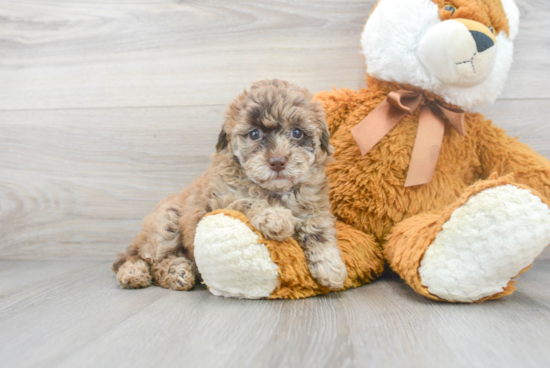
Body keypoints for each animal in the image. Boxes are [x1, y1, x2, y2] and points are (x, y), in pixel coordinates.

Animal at [112, 80, 348, 290]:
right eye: (254, 134)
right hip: (165, 224)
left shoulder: (315, 207)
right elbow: (247, 201)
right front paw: (275, 217)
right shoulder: (216, 205)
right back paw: (135, 273)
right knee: (139, 257)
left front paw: (331, 268)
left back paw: (178, 272)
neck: (274, 192)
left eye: (297, 132)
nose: (278, 161)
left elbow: (319, 230)